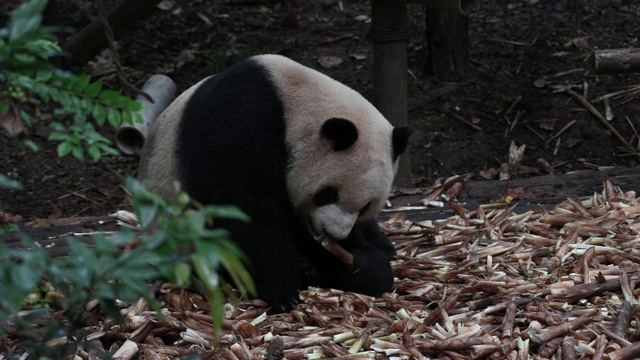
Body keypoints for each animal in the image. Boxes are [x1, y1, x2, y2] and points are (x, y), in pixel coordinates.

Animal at [139, 54, 410, 312]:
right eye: (329, 194)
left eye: (365, 207)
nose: (333, 234)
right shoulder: (241, 127)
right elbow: (251, 215)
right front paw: (283, 294)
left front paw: (364, 265)